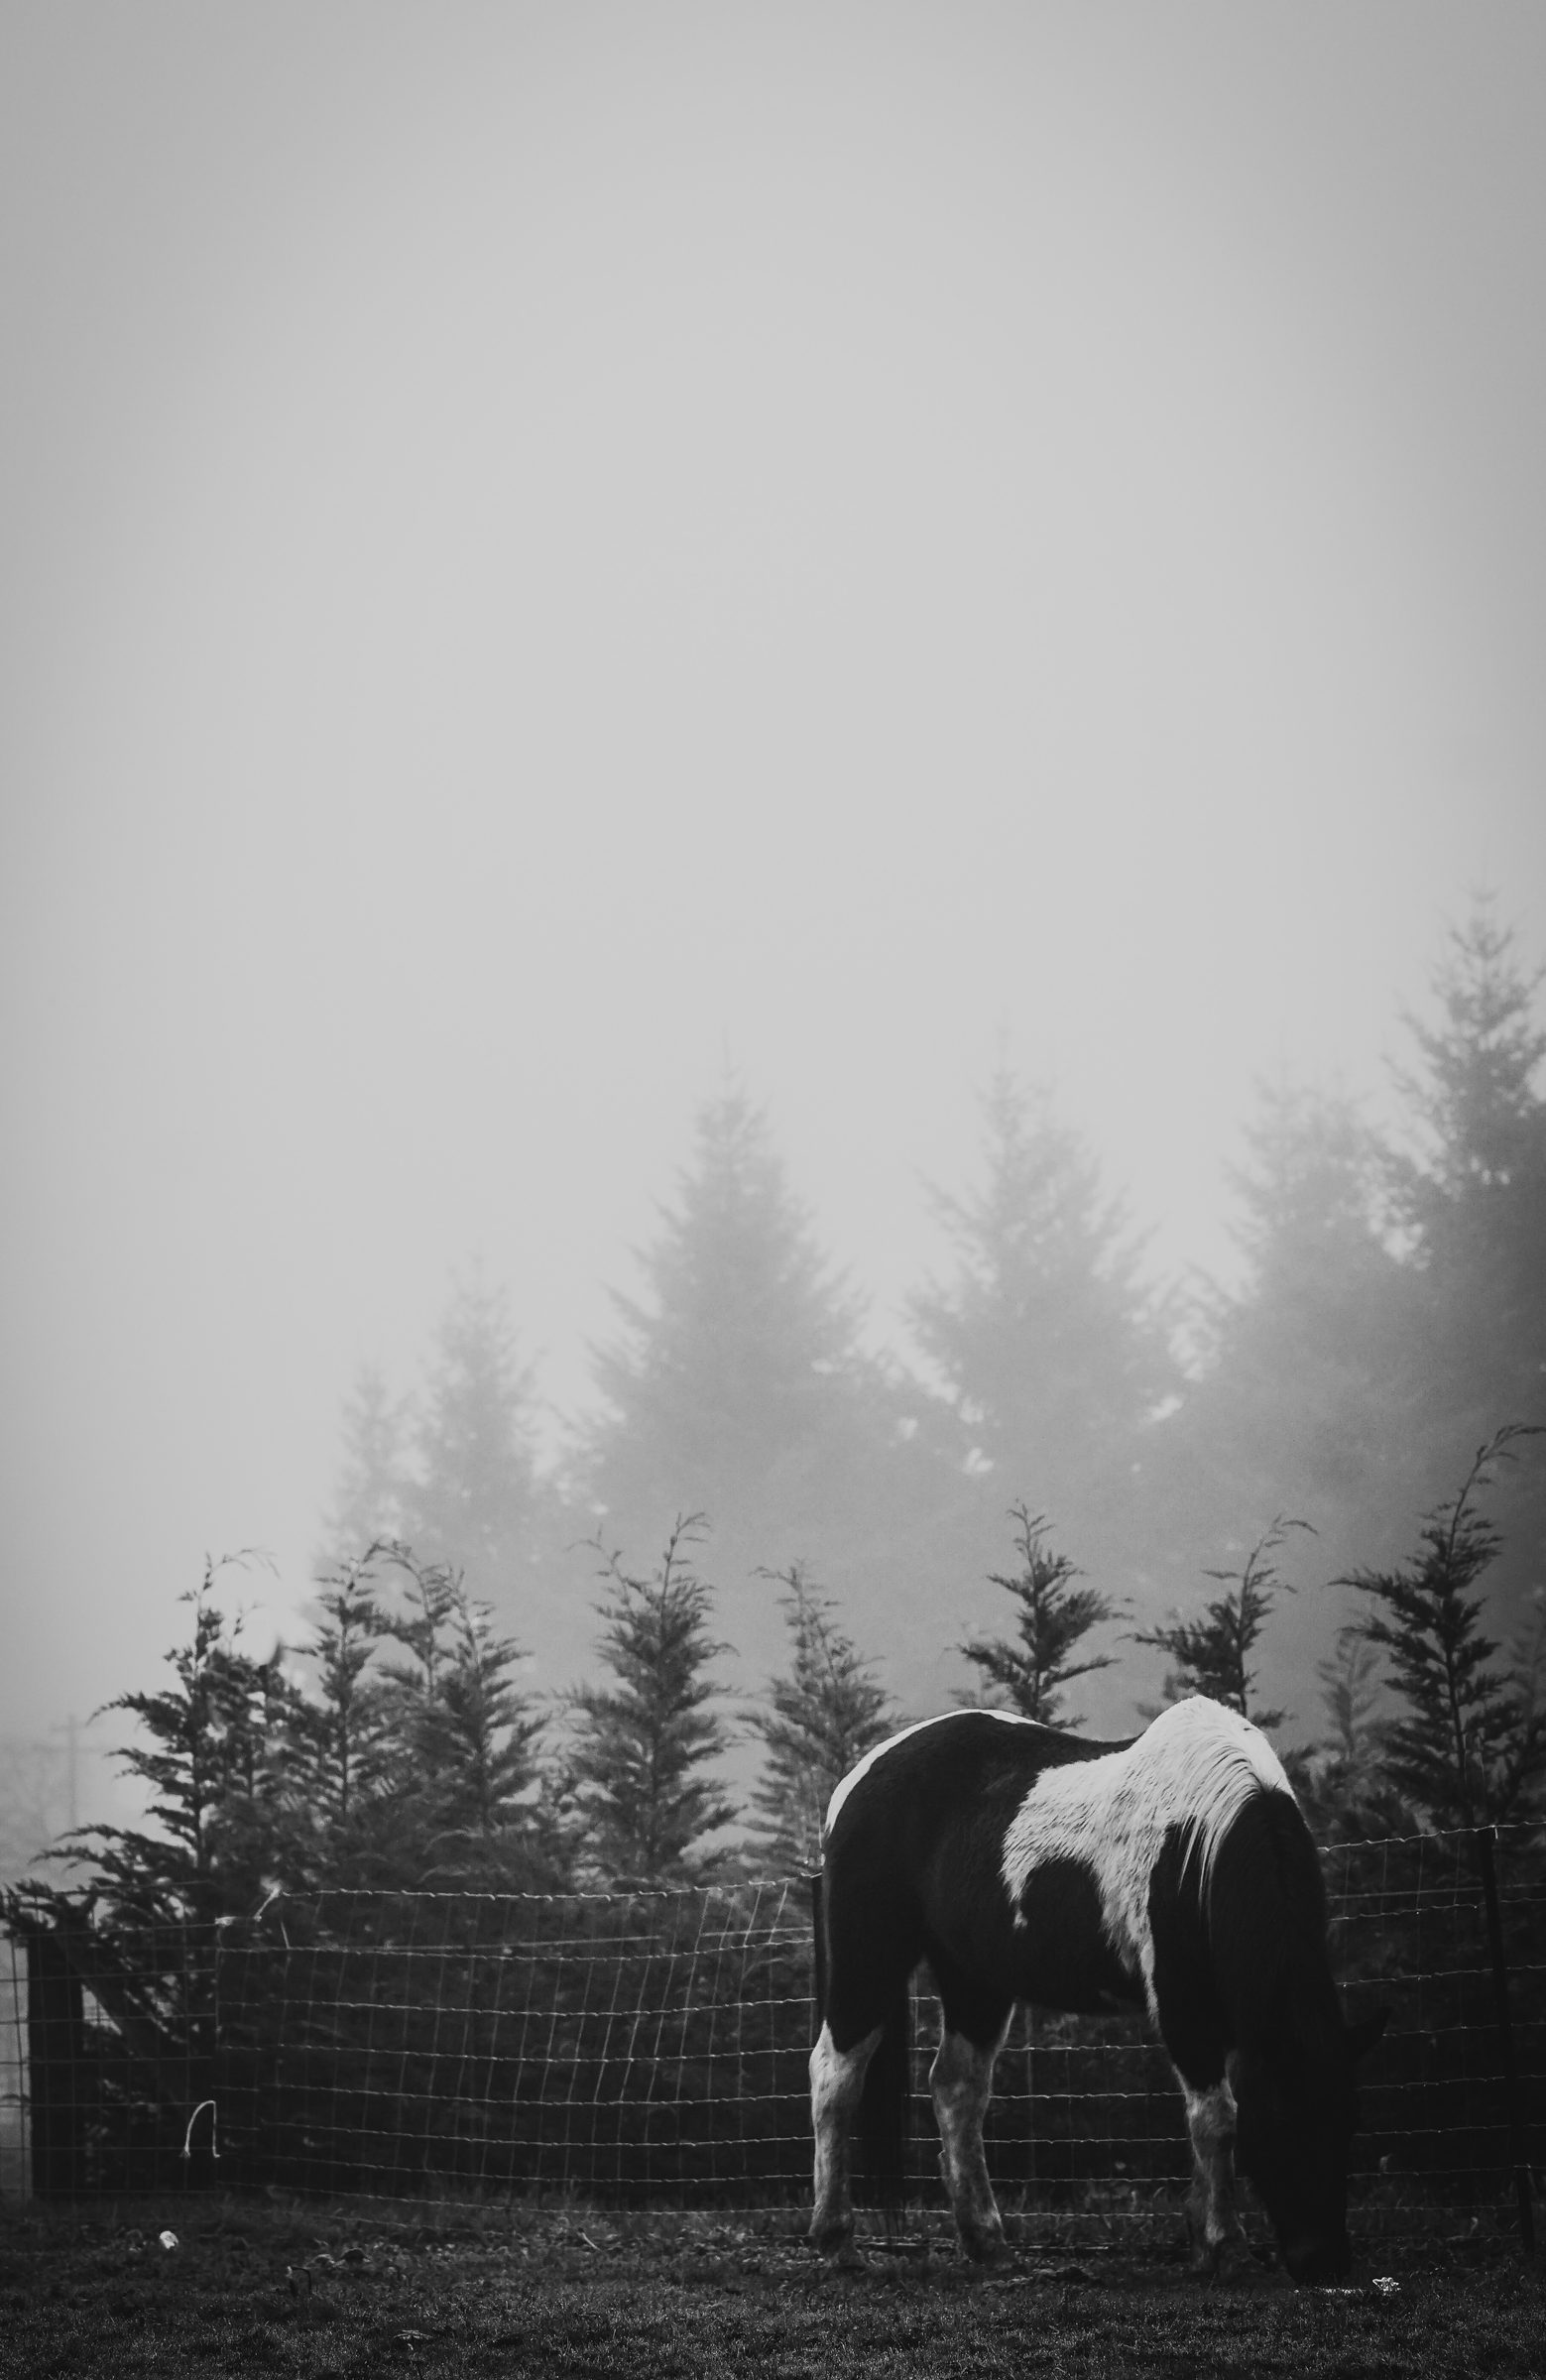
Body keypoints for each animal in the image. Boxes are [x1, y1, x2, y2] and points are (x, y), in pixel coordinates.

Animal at [809, 1695, 1387, 2284]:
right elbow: (1217, 2120)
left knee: (956, 2089)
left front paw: (1202, 2240)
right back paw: (837, 2242)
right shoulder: (1182, 2004)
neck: (1199, 1839)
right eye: (1279, 2122)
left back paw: (987, 2242)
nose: (1324, 2262)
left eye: (1350, 2120)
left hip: (974, 1978)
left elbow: (1207, 2120)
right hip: (870, 1959)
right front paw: (1226, 2247)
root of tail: (857, 1778)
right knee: (835, 2075)